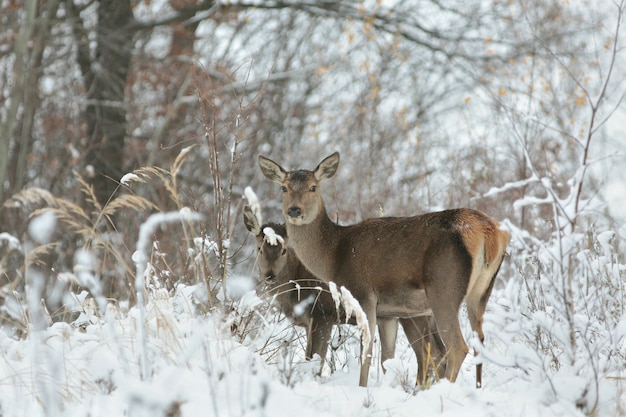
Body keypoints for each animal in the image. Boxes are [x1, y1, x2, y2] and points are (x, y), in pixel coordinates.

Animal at [241, 205, 442, 380]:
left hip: (414, 314)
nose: (270, 276)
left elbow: (315, 361)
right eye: (259, 248)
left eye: (284, 250)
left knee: (428, 354)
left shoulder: (323, 313)